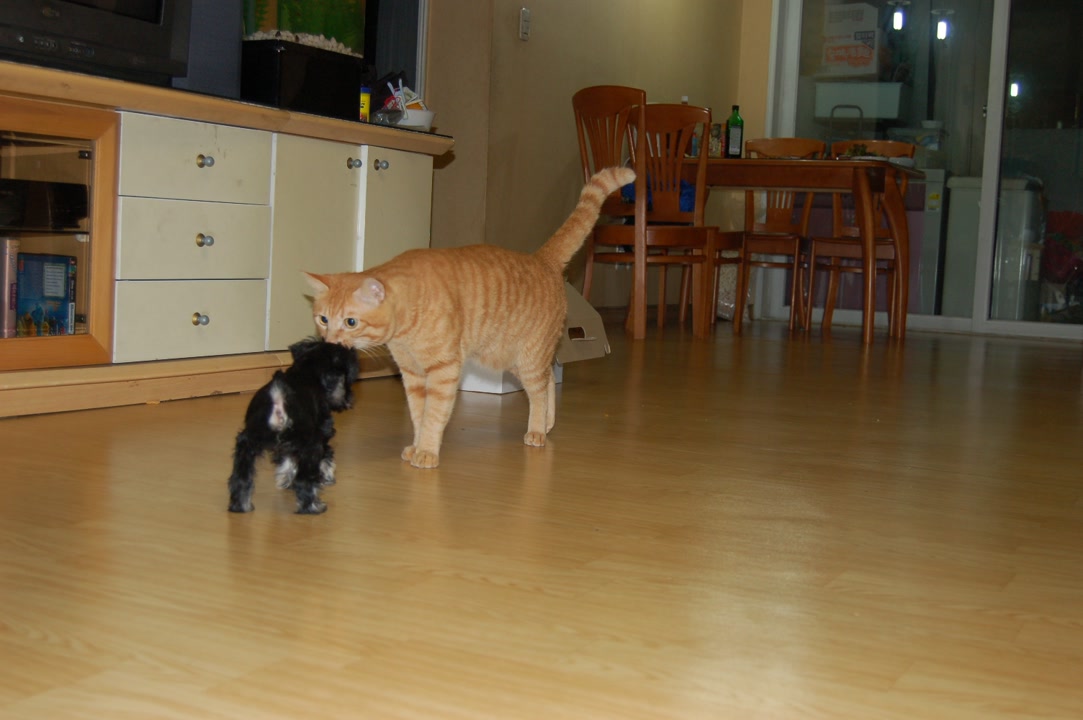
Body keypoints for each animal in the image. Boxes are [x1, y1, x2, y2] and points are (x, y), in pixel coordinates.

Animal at [227, 338, 360, 514]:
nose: (348, 399)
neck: (307, 372)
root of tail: (279, 402)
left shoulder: (286, 444)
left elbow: (287, 461)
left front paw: (284, 479)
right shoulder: (321, 434)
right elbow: (326, 457)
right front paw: (328, 476)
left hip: (247, 443)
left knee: (241, 478)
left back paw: (240, 506)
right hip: (310, 446)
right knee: (304, 480)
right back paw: (313, 507)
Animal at [304, 166, 633, 469]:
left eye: (350, 322)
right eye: (323, 319)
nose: (330, 340)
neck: (408, 320)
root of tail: (542, 258)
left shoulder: (443, 370)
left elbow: (433, 415)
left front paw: (427, 451)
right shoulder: (412, 375)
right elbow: (418, 414)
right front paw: (417, 445)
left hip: (526, 357)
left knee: (539, 392)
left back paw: (537, 430)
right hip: (513, 358)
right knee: (549, 380)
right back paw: (547, 424)